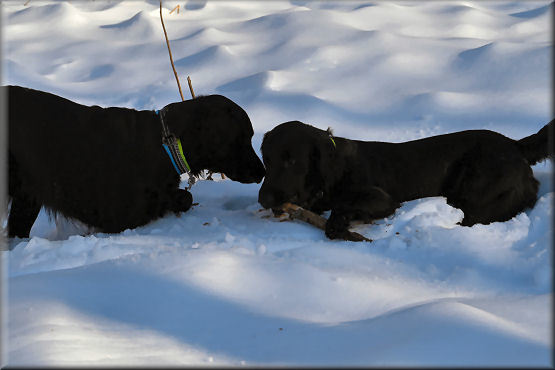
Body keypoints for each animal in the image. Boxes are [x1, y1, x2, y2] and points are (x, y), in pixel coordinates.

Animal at [258, 118, 552, 240]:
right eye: (267, 160)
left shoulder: (383, 198)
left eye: (292, 161)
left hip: (474, 192)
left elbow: (345, 204)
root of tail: (516, 145)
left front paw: (337, 224)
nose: (263, 199)